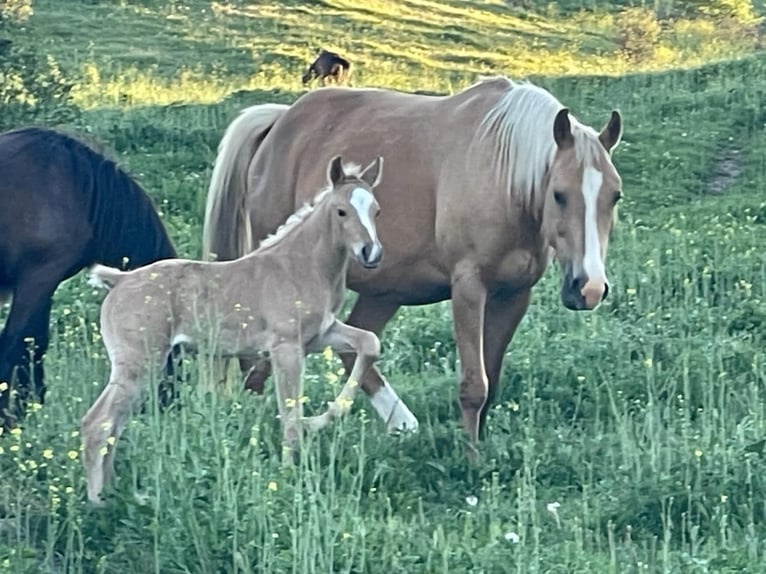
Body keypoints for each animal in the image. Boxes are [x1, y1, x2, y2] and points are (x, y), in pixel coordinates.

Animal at [82, 156, 420, 504]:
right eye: (341, 211)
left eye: (376, 210)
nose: (371, 253)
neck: (301, 266)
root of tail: (119, 280)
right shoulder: (286, 348)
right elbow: (289, 412)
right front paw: (289, 475)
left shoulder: (320, 336)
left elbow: (369, 343)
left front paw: (319, 420)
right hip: (140, 363)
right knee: (98, 423)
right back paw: (97, 504)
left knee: (113, 424)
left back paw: (115, 494)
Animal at [202, 76, 624, 450]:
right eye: (559, 194)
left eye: (615, 195)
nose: (588, 288)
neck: (503, 175)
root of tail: (279, 121)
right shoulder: (468, 289)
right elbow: (475, 385)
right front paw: (470, 458)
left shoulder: (514, 294)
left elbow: (491, 381)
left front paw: (481, 451)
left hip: (384, 291)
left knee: (352, 347)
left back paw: (400, 423)